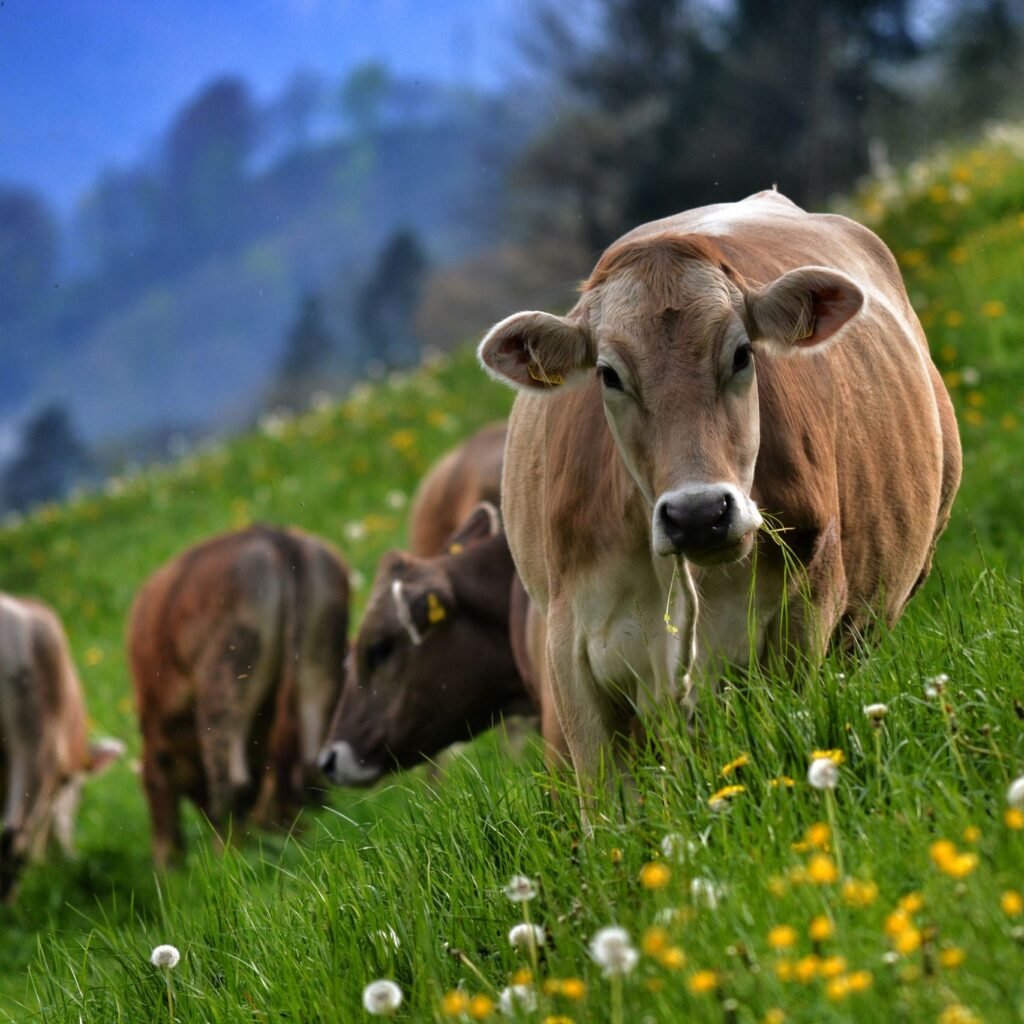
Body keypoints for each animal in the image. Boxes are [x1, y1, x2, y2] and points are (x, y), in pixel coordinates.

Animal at [128, 525, 349, 866]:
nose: (167, 864)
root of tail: (275, 536)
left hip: (225, 676)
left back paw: (229, 860)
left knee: (232, 781)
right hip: (319, 657)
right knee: (309, 765)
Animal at [478, 189, 961, 813]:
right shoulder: (571, 655)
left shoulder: (801, 616)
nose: (698, 514)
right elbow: (608, 808)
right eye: (608, 374)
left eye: (741, 354)